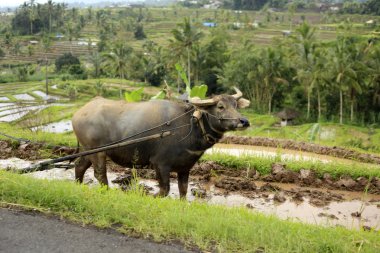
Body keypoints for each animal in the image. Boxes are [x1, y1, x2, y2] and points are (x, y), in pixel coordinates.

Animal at [71, 88, 251, 199]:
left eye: (235, 105)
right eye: (220, 106)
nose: (244, 121)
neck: (189, 126)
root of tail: (79, 112)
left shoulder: (185, 167)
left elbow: (183, 190)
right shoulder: (160, 164)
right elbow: (164, 190)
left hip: (88, 151)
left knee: (79, 166)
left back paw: (78, 186)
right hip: (98, 152)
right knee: (100, 174)